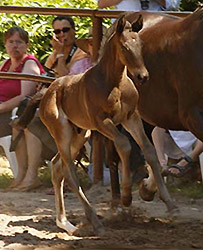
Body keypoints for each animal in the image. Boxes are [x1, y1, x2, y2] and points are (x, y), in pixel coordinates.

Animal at [39, 15, 176, 234]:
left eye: (140, 45)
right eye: (125, 47)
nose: (143, 76)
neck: (115, 82)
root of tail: (46, 93)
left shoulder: (131, 118)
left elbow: (148, 150)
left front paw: (170, 204)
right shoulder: (103, 122)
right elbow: (124, 145)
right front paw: (126, 198)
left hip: (80, 134)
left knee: (57, 167)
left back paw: (65, 223)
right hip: (62, 133)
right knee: (69, 173)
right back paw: (94, 222)